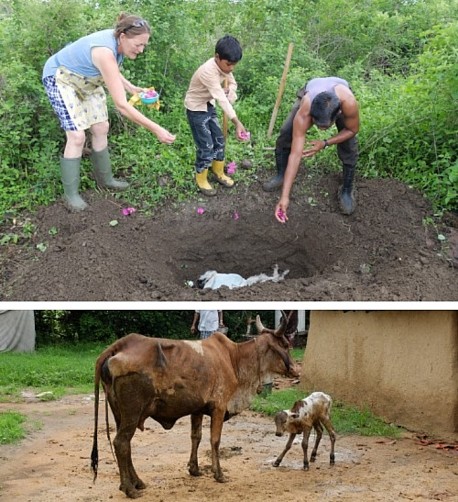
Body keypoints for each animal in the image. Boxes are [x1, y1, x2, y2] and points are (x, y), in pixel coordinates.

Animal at [90, 314, 296, 498]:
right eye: (286, 345)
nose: (295, 369)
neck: (234, 358)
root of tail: (117, 347)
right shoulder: (219, 407)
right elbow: (215, 440)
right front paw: (219, 474)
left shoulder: (197, 409)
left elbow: (196, 437)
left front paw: (194, 469)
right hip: (132, 413)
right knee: (121, 443)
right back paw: (129, 489)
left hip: (119, 414)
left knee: (126, 445)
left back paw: (137, 482)